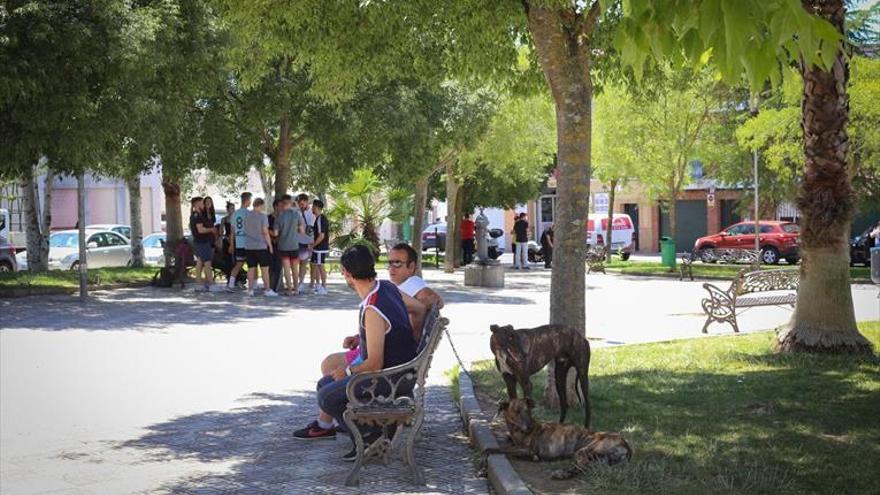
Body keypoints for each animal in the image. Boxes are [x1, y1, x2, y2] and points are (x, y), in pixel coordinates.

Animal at [488, 400, 632, 480]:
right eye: (517, 411)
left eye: (528, 410)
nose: (530, 426)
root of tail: (626, 444)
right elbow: (507, 439)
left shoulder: (528, 449)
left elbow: (500, 448)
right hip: (600, 459)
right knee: (586, 467)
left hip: (584, 450)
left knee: (581, 467)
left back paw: (561, 474)